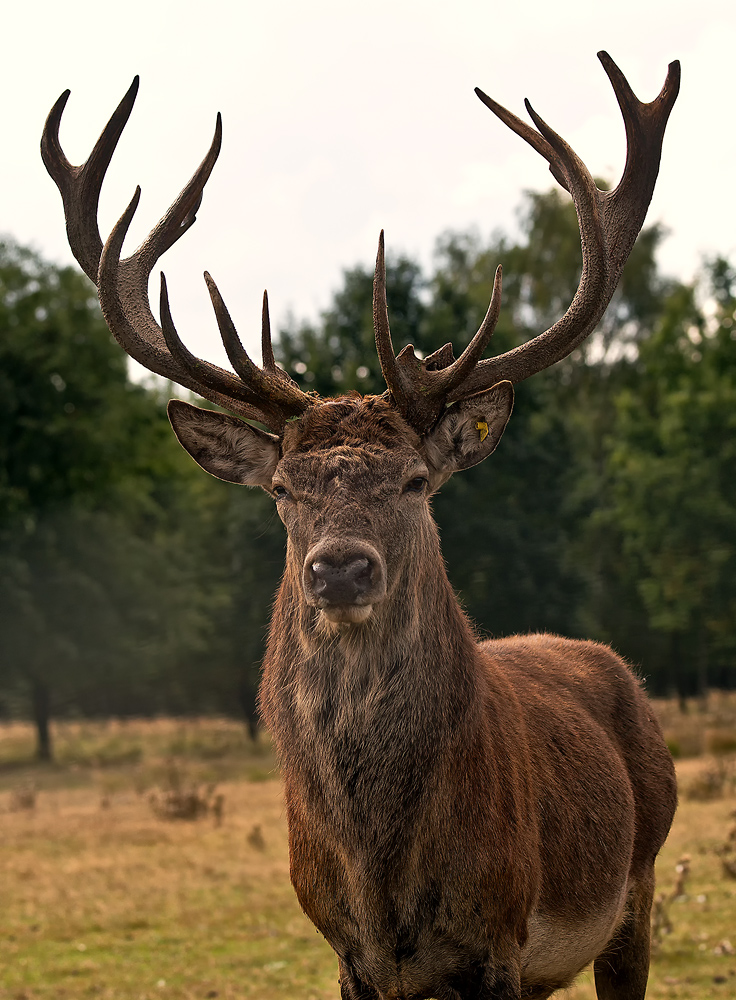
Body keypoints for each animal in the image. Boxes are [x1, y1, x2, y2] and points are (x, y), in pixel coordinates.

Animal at [43, 52, 680, 1000]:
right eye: (281, 488)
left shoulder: (499, 936)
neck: (381, 880)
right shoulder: (346, 953)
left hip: (637, 884)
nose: (340, 568)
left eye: (416, 482)